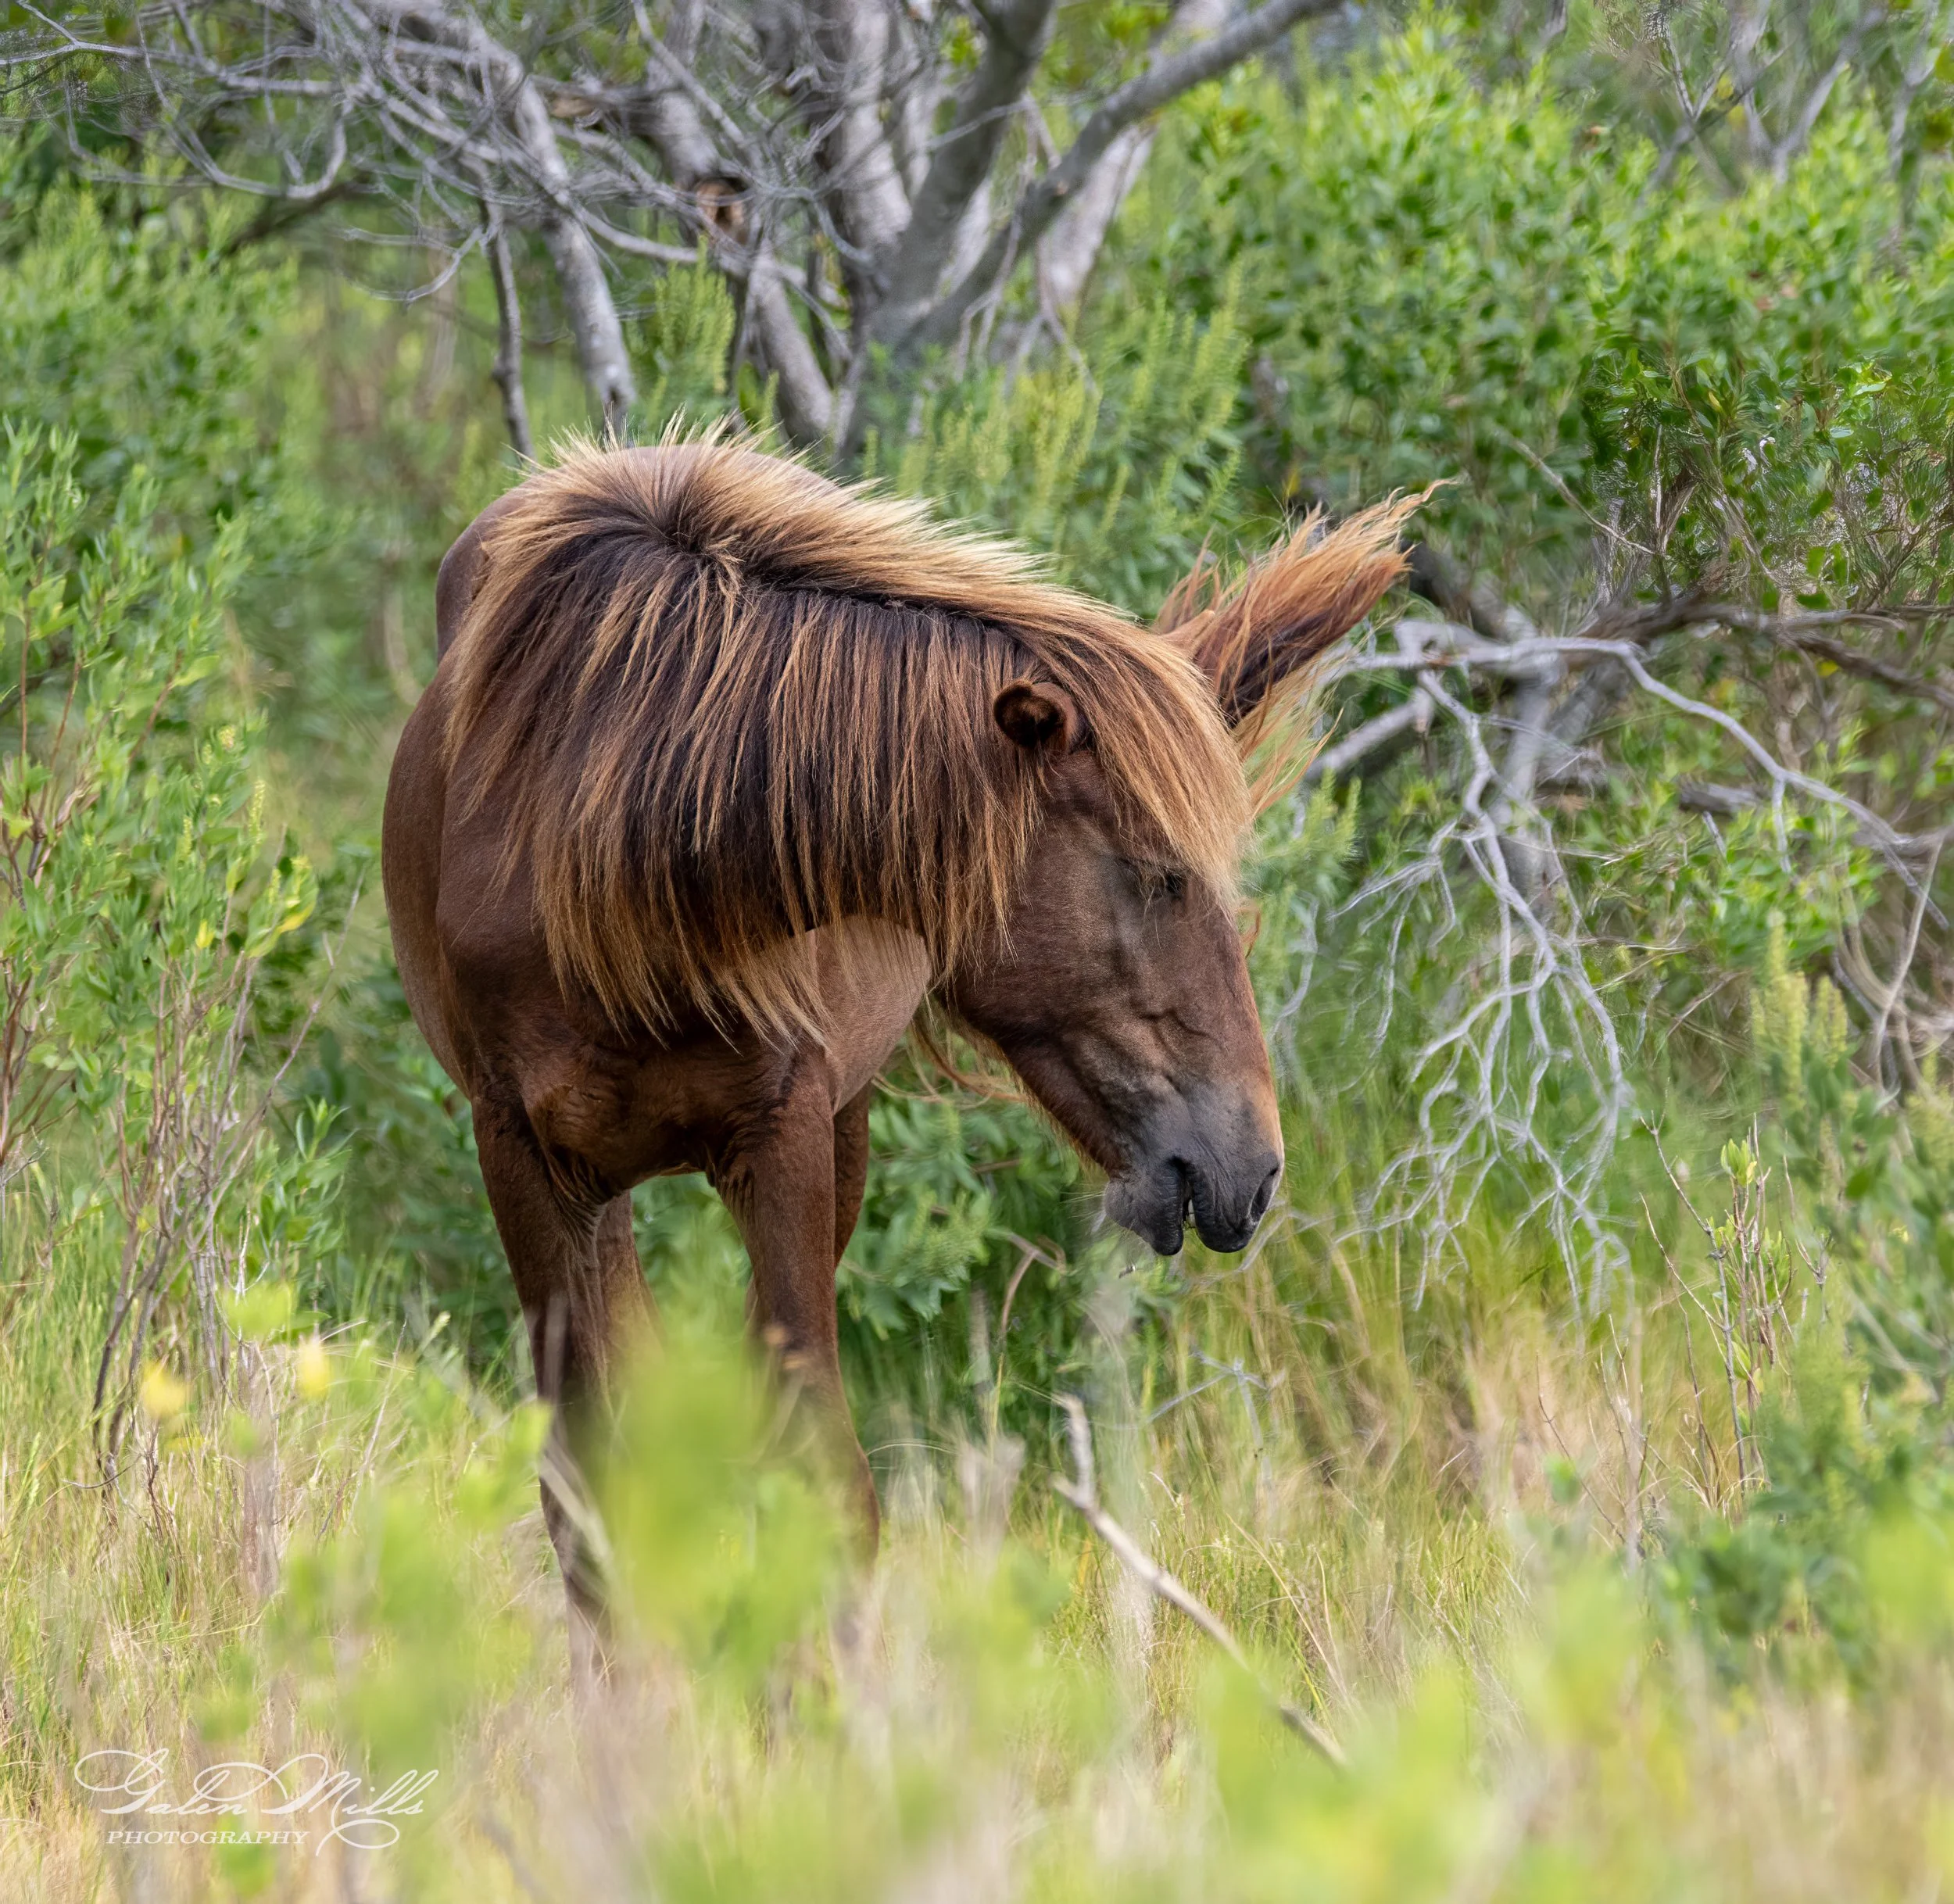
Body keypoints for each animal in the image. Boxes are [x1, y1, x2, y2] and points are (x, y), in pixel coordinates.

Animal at [381, 437, 1411, 1641]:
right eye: (1157, 876)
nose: (1251, 1165)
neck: (600, 854)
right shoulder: (524, 1160)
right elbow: (588, 1510)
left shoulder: (782, 1136)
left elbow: (821, 1489)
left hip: (837, 1135)